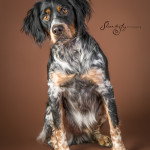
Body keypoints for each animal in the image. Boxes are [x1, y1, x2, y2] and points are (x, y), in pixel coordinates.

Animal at [22, 0, 125, 149]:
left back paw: (101, 138)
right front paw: (61, 146)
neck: (71, 51)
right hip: (50, 111)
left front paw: (119, 147)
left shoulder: (106, 88)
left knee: (94, 132)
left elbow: (115, 126)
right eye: (45, 17)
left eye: (65, 10)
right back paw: (55, 144)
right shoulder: (54, 93)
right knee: (52, 136)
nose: (57, 29)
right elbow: (60, 131)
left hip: (101, 109)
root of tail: (80, 136)